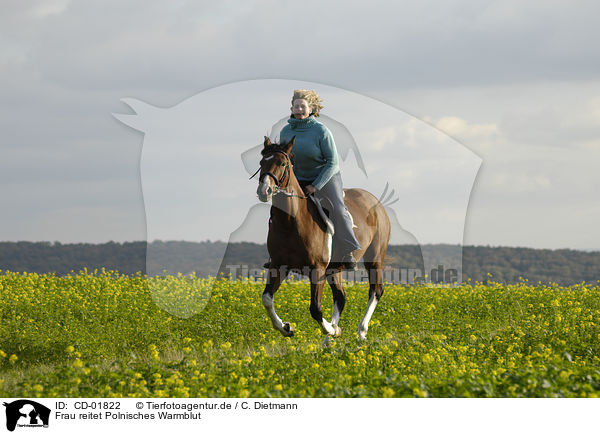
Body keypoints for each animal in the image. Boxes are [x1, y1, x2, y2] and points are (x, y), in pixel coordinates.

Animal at [254, 137, 392, 340]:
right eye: (261, 162)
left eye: (282, 163)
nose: (265, 190)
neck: (291, 222)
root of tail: (377, 203)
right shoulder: (278, 265)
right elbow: (266, 298)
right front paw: (286, 327)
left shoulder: (317, 269)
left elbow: (315, 309)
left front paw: (332, 329)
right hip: (334, 268)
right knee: (341, 296)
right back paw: (330, 340)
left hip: (374, 258)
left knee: (375, 290)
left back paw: (360, 332)